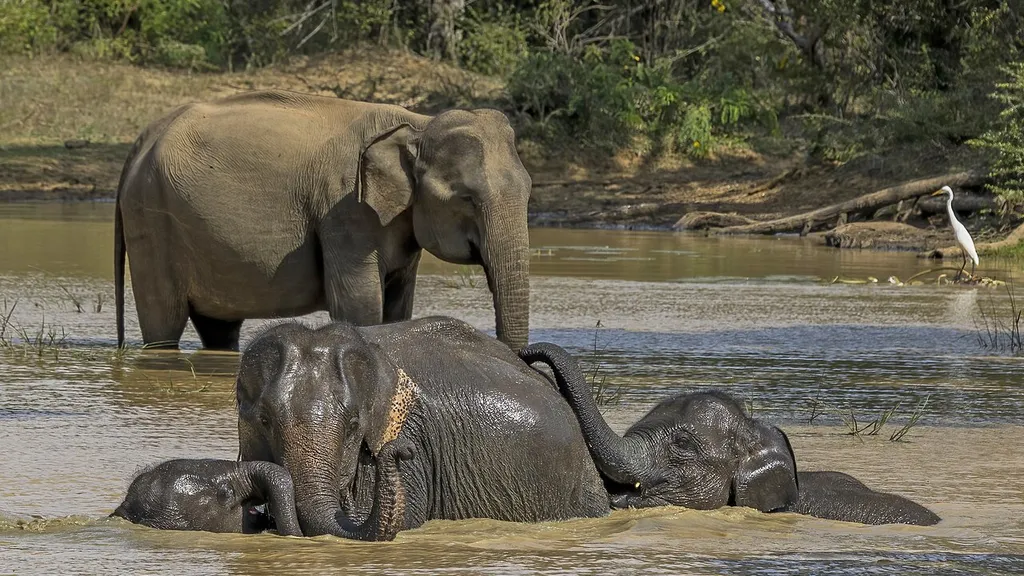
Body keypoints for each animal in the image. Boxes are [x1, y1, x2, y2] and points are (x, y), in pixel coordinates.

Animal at [113, 89, 532, 352]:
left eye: (529, 191)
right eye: (466, 199)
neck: (417, 122)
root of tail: (141, 140)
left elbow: (398, 308)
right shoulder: (345, 211)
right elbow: (360, 307)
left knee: (218, 326)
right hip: (151, 219)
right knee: (163, 322)